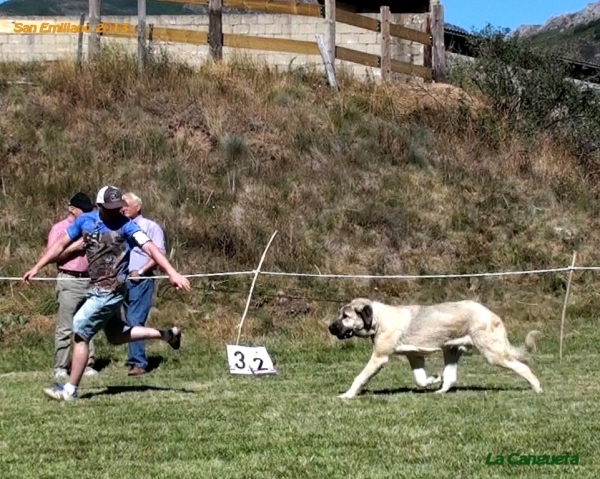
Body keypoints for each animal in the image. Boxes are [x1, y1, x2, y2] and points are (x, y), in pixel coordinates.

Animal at [328, 298, 544, 400]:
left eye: (345, 316)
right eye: (340, 314)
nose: (330, 328)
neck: (378, 319)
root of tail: (491, 313)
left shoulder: (379, 357)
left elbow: (360, 377)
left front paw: (347, 395)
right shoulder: (414, 356)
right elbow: (420, 379)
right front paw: (433, 379)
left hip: (493, 354)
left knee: (523, 367)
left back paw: (537, 388)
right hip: (451, 350)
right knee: (451, 377)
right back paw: (440, 390)